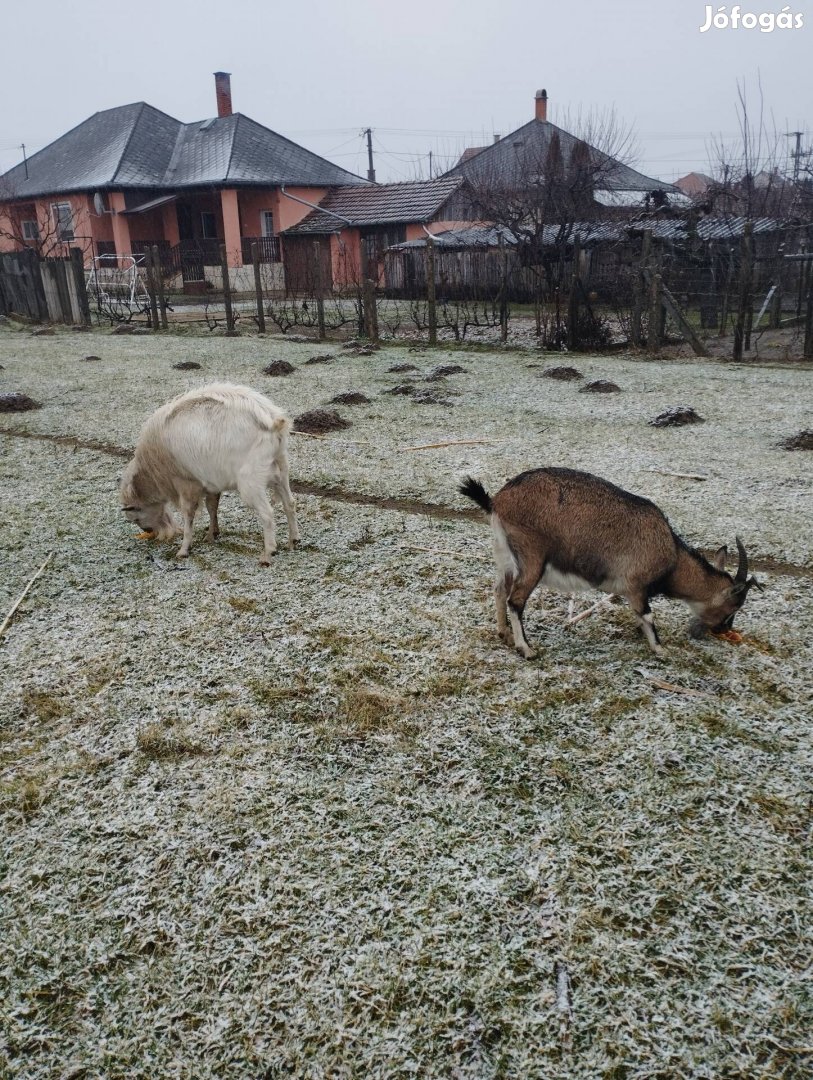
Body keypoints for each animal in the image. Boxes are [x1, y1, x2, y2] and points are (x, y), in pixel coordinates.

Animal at [117, 382, 297, 565]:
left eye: (136, 518)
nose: (148, 531)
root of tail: (272, 421)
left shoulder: (186, 483)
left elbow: (189, 515)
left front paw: (184, 549)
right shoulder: (211, 482)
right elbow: (212, 507)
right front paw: (212, 534)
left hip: (251, 481)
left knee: (267, 514)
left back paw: (268, 553)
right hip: (281, 470)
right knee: (290, 503)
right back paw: (293, 541)